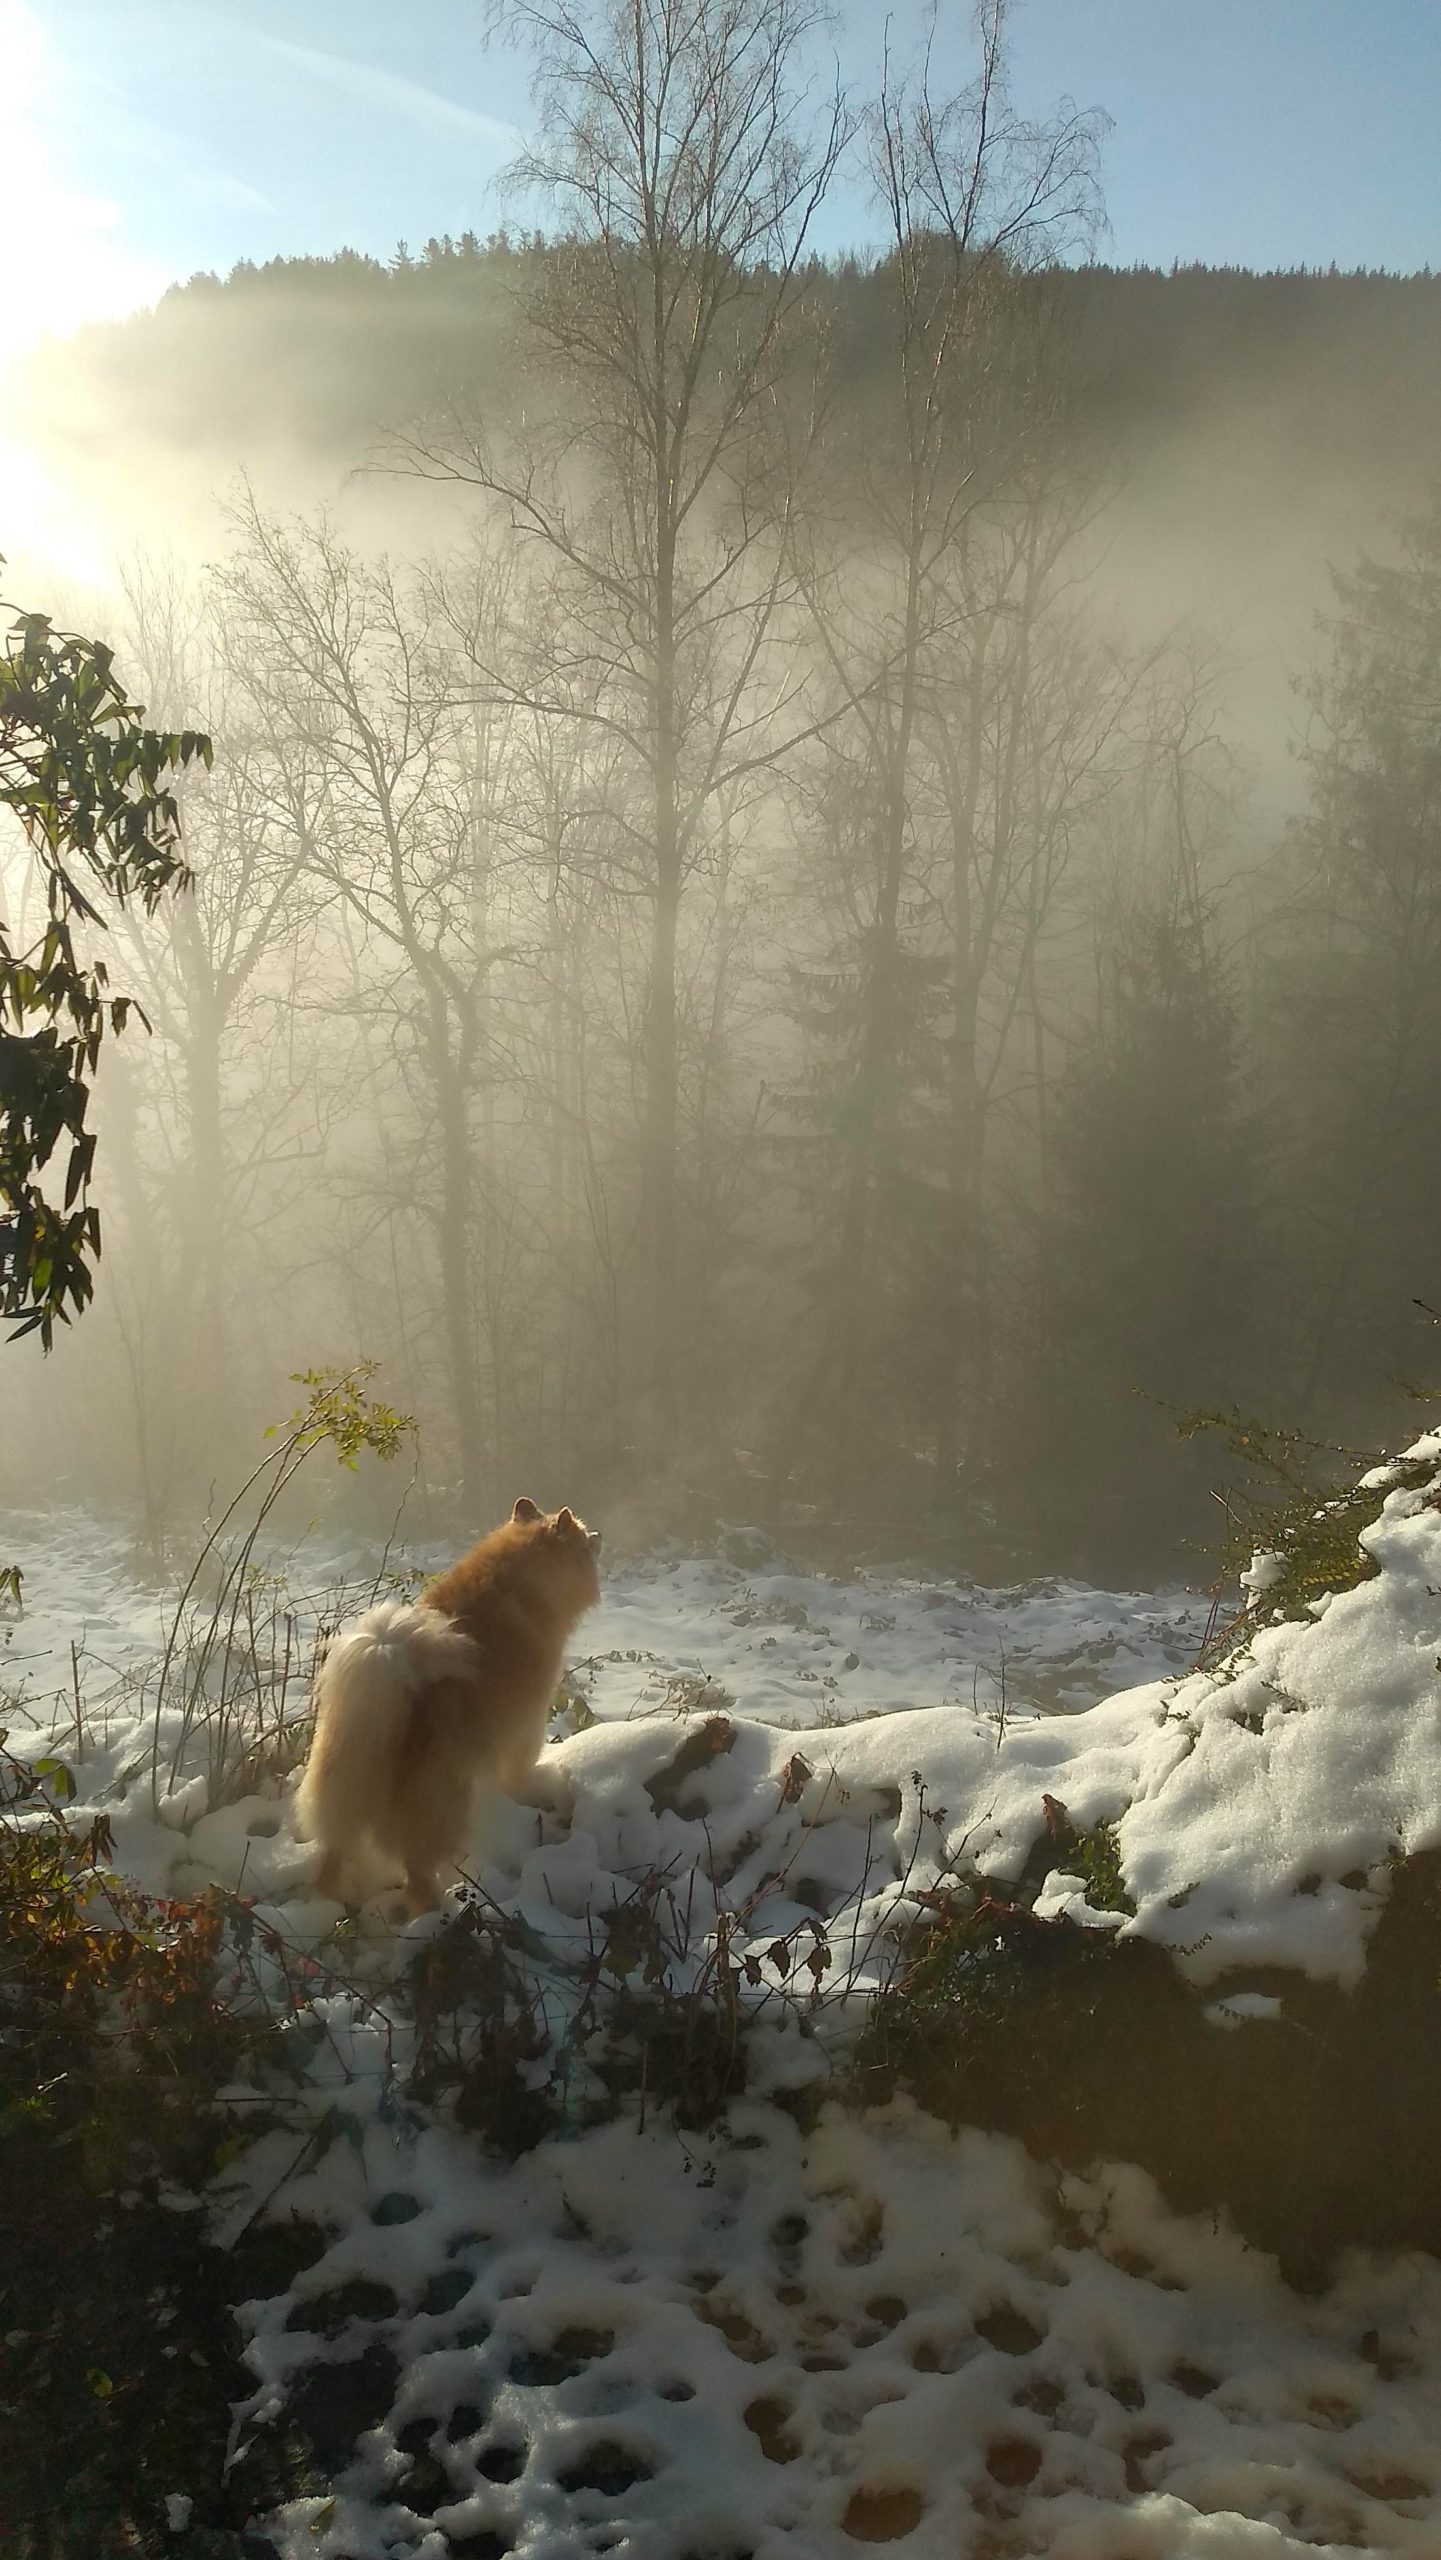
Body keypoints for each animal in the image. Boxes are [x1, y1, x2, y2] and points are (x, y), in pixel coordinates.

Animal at [295, 1495, 601, 1914]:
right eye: (584, 1541)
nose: (598, 1536)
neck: (521, 1582)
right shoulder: (524, 1726)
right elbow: (516, 1771)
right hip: (442, 1811)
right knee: (419, 1876)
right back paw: (440, 1910)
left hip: (339, 1802)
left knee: (332, 1858)